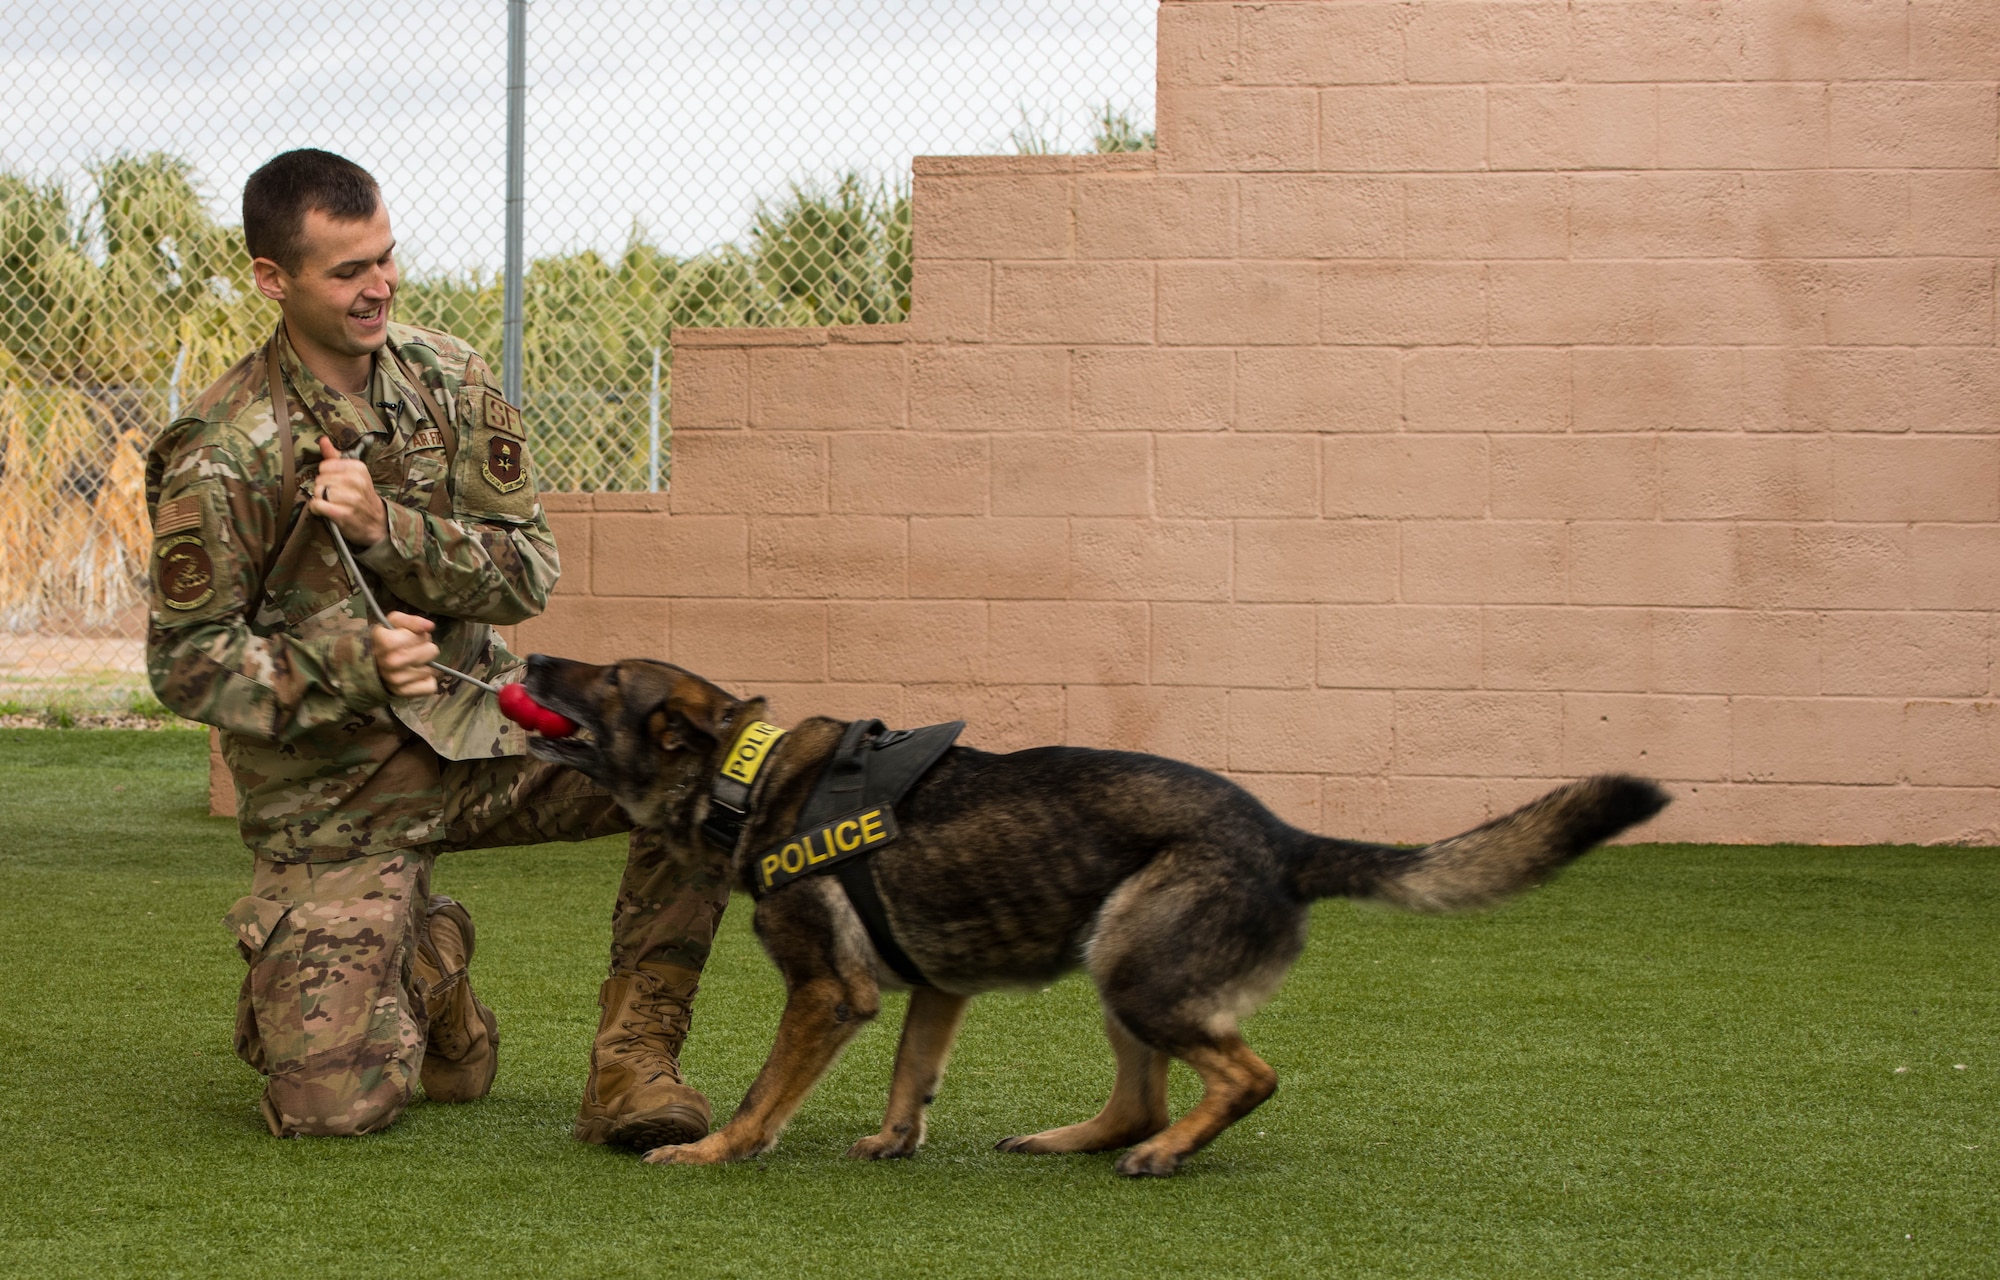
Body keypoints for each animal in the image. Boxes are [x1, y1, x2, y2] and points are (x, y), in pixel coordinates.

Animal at [532, 660, 1672, 1184]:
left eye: (606, 677)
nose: (536, 659)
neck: (749, 777)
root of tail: (1284, 838)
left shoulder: (824, 992)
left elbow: (765, 1092)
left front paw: (717, 1152)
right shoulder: (934, 991)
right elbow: (911, 1077)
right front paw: (896, 1140)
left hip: (1136, 968)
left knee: (1247, 1075)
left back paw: (1166, 1153)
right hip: (1112, 961)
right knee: (1138, 1098)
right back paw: (1077, 1136)